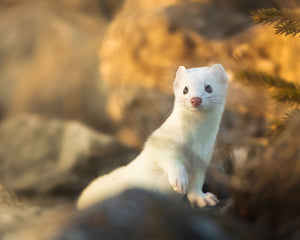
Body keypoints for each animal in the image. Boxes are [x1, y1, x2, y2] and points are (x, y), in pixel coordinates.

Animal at [77, 64, 227, 209]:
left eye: (208, 87)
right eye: (185, 89)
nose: (196, 100)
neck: (193, 142)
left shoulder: (202, 159)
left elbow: (196, 184)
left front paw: (204, 199)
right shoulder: (159, 142)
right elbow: (168, 159)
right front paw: (179, 180)